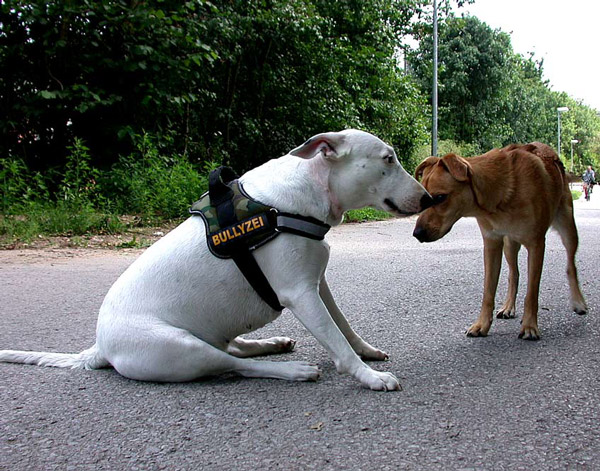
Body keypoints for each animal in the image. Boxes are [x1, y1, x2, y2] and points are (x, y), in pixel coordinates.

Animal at [0, 129, 432, 390]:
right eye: (388, 158)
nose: (429, 199)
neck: (309, 190)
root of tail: (99, 348)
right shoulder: (300, 293)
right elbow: (336, 342)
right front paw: (370, 376)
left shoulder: (317, 285)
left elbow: (343, 326)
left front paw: (367, 352)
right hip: (180, 348)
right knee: (231, 365)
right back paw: (291, 370)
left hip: (207, 336)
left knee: (234, 351)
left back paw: (271, 343)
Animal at [412, 142, 584, 342]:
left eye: (440, 197)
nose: (417, 233)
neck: (502, 193)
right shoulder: (492, 243)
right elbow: (488, 290)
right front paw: (481, 325)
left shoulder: (536, 245)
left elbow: (532, 293)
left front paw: (529, 326)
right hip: (509, 245)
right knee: (514, 274)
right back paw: (509, 306)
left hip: (568, 227)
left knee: (571, 265)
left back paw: (579, 302)